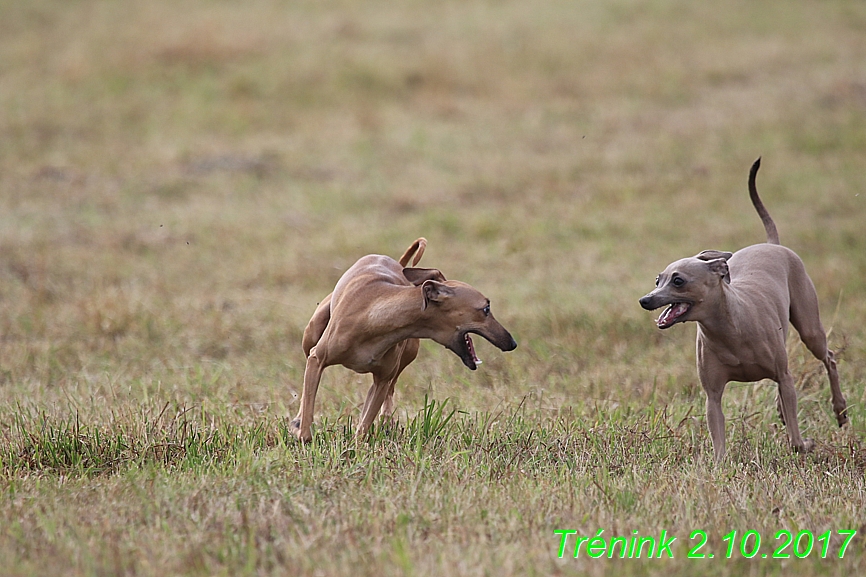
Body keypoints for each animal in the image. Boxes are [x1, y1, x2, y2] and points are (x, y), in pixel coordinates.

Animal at [294, 237, 516, 440]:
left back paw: (387, 422)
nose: (512, 343)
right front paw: (304, 437)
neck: (377, 315)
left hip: (407, 355)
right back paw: (297, 420)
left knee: (391, 390)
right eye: (486, 308)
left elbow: (365, 423)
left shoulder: (382, 380)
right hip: (312, 332)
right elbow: (309, 401)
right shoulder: (317, 359)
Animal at [636, 160, 848, 462]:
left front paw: (805, 444)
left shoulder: (783, 374)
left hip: (810, 328)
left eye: (678, 280)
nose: (645, 300)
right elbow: (719, 442)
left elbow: (795, 439)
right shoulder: (712, 395)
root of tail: (772, 244)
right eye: (658, 280)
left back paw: (840, 410)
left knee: (828, 358)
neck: (730, 329)